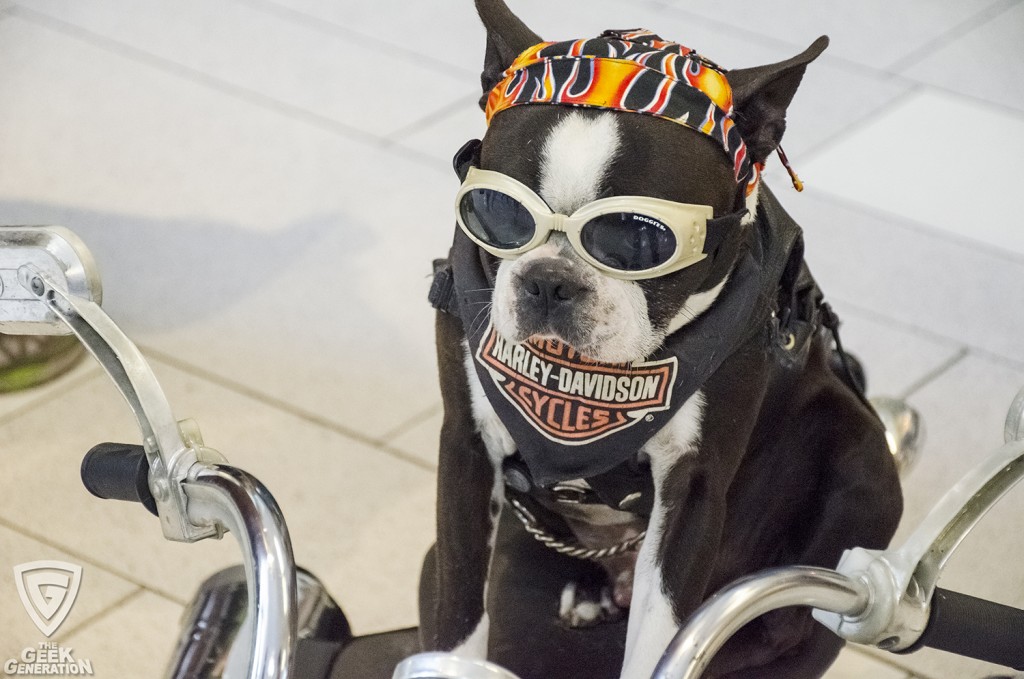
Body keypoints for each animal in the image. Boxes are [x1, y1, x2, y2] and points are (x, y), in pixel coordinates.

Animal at [419, 2, 901, 675]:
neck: (582, 383)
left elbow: (665, 637)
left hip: (866, 459)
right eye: (495, 212)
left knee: (793, 617)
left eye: (639, 237)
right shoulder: (465, 447)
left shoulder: (691, 487)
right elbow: (460, 606)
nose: (549, 282)